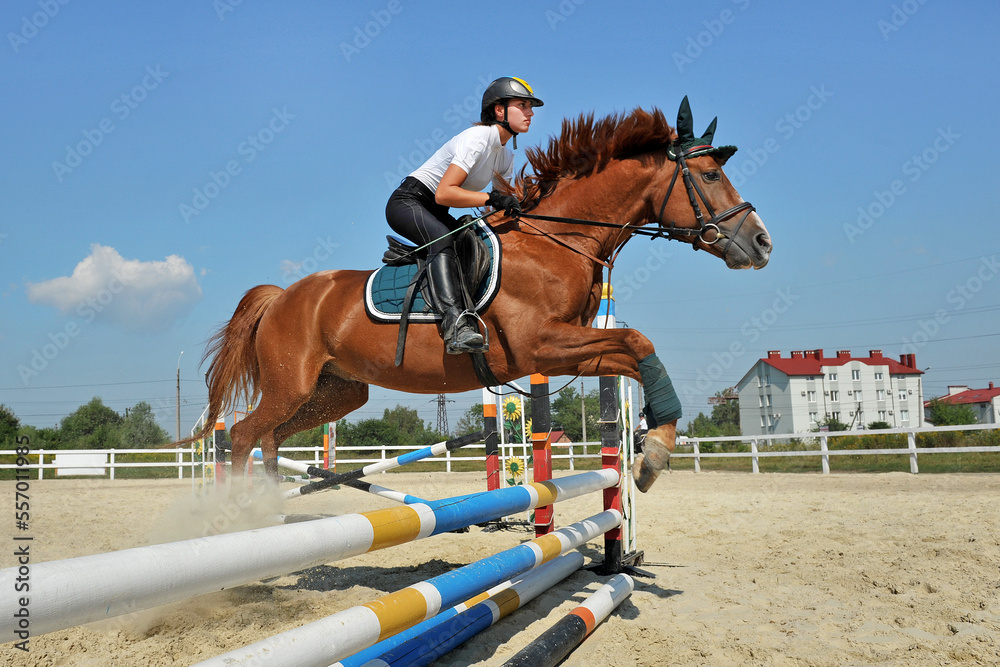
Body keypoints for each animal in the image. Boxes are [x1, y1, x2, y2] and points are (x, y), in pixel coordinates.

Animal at [192, 98, 772, 492]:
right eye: (710, 174)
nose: (762, 243)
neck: (556, 239)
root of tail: (281, 297)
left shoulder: (566, 350)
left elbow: (634, 352)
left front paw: (652, 448)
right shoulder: (541, 344)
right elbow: (639, 342)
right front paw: (653, 455)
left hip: (335, 391)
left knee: (271, 438)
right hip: (290, 385)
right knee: (241, 435)